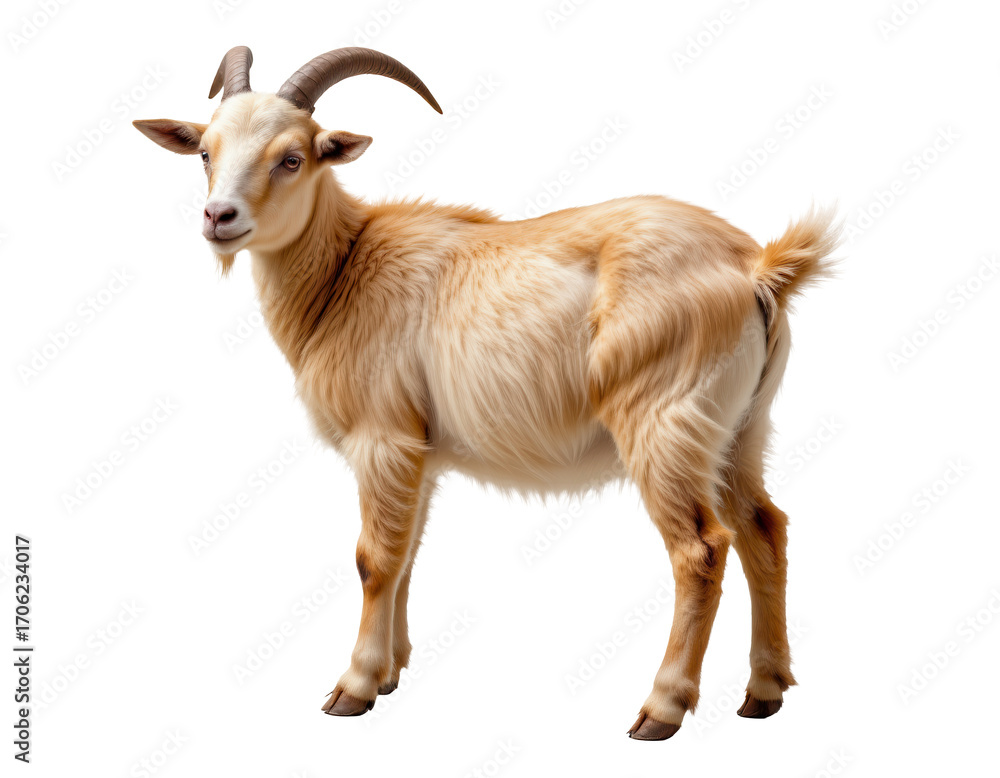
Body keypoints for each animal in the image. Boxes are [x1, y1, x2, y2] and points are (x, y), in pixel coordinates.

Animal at [134, 45, 837, 740]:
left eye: (292, 157)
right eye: (205, 151)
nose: (218, 217)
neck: (345, 269)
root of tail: (755, 268)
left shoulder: (382, 437)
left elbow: (373, 558)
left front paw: (353, 688)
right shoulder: (418, 450)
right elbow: (406, 553)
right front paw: (390, 673)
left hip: (663, 420)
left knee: (701, 548)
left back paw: (661, 709)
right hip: (741, 426)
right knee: (763, 527)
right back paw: (764, 692)